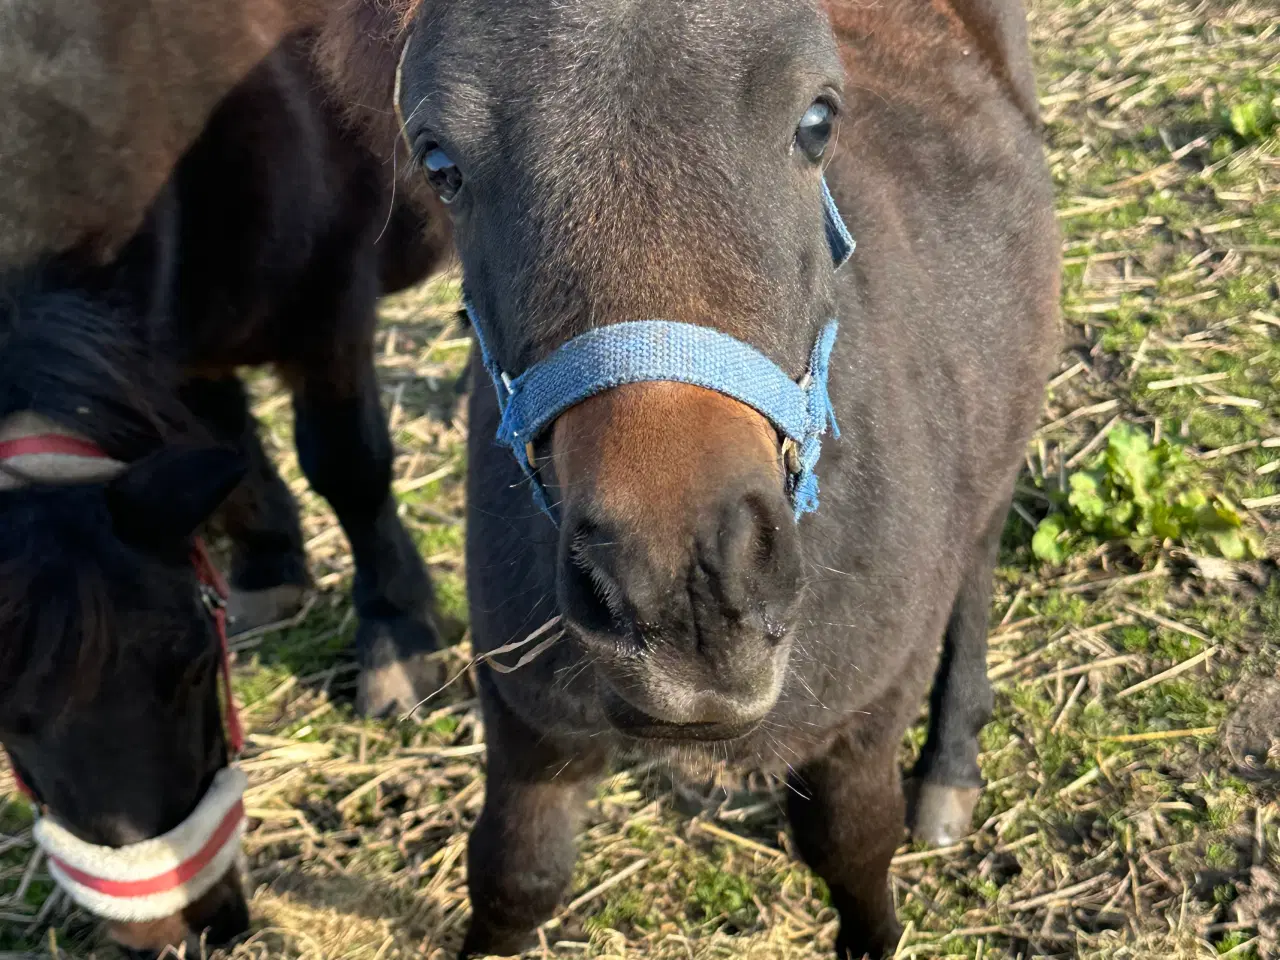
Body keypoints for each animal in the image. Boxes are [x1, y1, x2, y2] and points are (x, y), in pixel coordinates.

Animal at [0, 33, 450, 957]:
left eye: (194, 666)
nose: (183, 929)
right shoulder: (177, 346)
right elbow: (230, 453)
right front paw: (272, 569)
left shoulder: (329, 310)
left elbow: (347, 467)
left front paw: (398, 639)